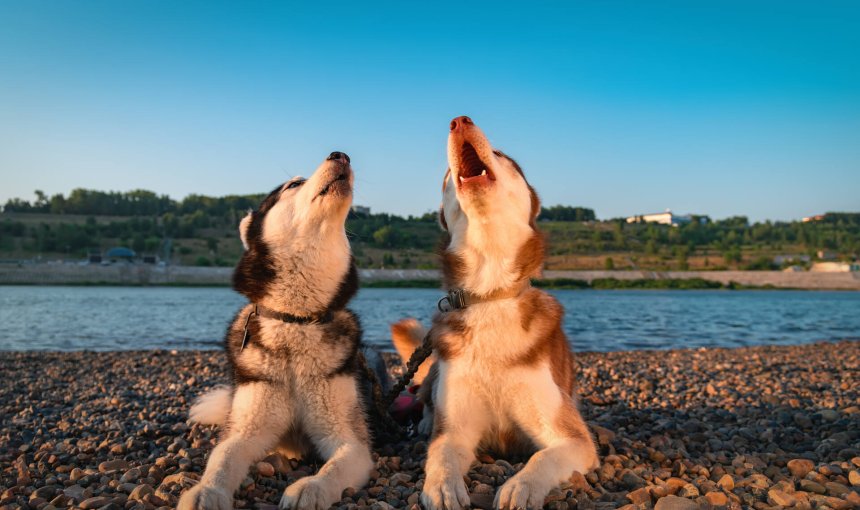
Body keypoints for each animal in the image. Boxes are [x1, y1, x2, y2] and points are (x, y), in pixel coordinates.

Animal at [176, 150, 384, 510]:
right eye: (293, 185)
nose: (340, 155)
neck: (296, 320)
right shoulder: (247, 428)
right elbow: (222, 458)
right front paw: (205, 490)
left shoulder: (351, 441)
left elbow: (334, 467)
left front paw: (310, 487)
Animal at [392, 116, 596, 510]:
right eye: (445, 175)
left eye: (503, 156)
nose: (459, 121)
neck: (489, 295)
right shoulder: (456, 428)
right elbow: (440, 454)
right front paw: (442, 487)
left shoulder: (574, 438)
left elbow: (543, 456)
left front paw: (521, 486)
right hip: (435, 369)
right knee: (425, 397)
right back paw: (423, 421)